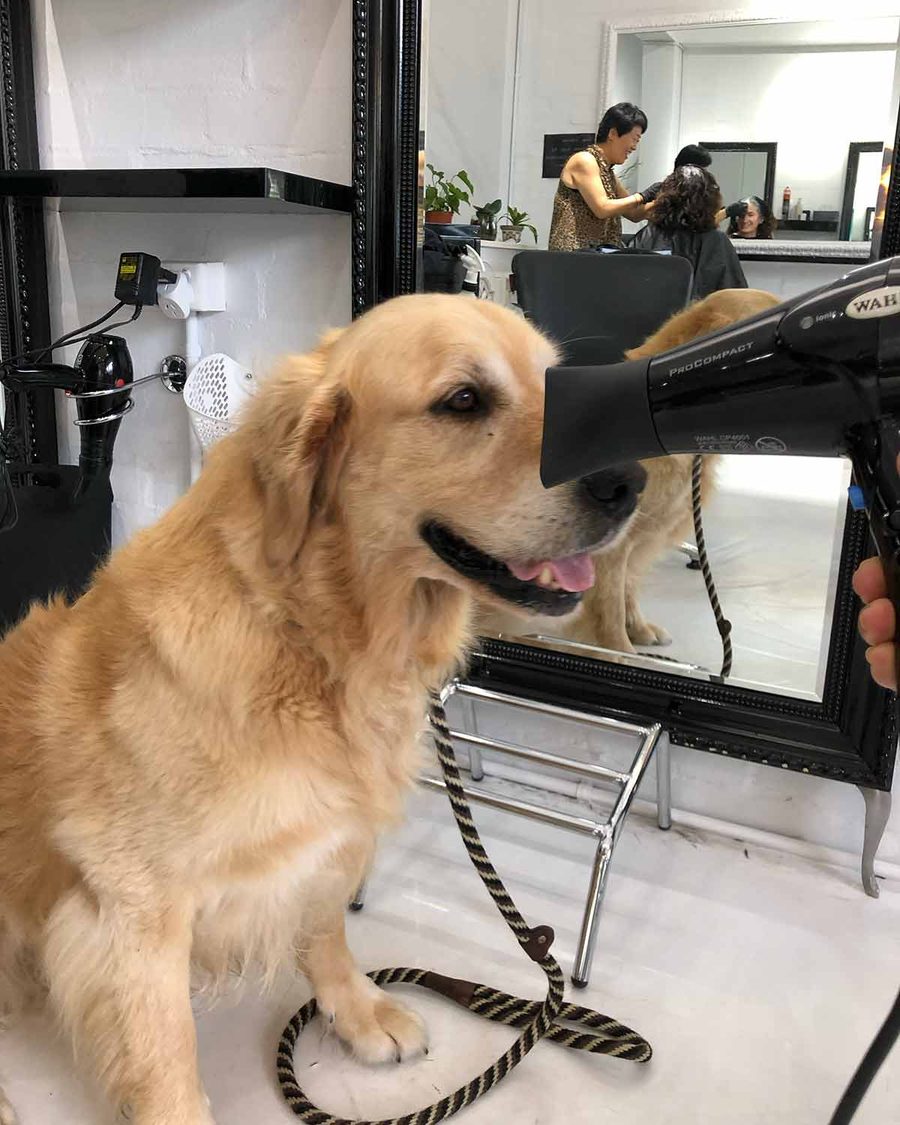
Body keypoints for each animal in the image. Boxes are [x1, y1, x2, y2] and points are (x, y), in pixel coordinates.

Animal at [0, 294, 645, 1125]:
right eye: (463, 400)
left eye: (556, 383)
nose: (629, 480)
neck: (312, 632)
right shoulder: (133, 902)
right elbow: (164, 1047)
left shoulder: (330, 833)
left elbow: (326, 927)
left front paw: (358, 1012)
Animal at [476, 288, 781, 655]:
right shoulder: (608, 549)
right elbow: (610, 609)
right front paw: (619, 651)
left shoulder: (638, 541)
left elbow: (628, 591)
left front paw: (639, 630)